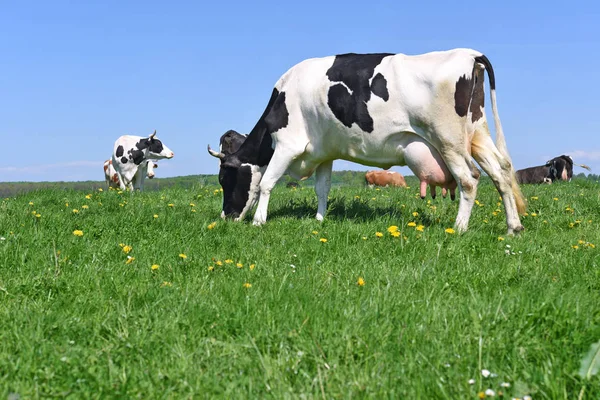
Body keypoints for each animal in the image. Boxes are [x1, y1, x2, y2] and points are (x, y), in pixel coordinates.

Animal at [209, 48, 528, 234]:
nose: (225, 217)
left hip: (449, 140)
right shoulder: (324, 152)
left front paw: (259, 221)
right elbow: (322, 189)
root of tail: (470, 53)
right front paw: (319, 219)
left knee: (470, 179)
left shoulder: (288, 144)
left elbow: (266, 183)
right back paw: (513, 227)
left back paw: (459, 228)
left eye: (224, 179)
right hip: (477, 134)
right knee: (501, 171)